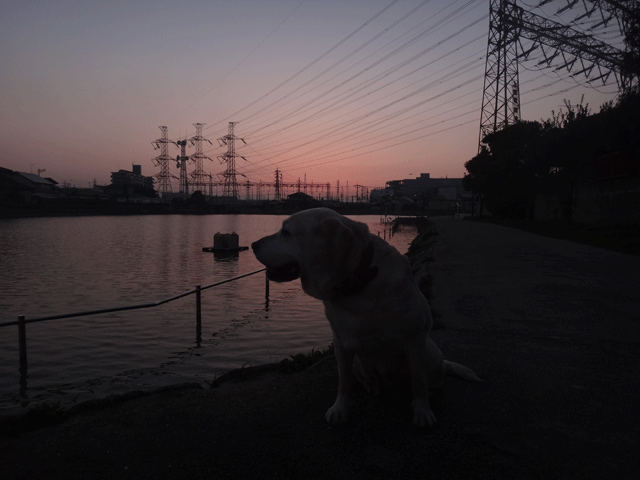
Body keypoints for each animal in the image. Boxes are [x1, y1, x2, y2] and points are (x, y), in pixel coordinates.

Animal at [250, 208, 480, 426]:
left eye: (286, 232)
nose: (253, 244)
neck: (356, 282)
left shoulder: (414, 338)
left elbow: (418, 381)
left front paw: (422, 411)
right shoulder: (341, 343)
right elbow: (343, 382)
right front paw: (340, 409)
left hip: (431, 354)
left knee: (428, 378)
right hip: (358, 361)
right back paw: (370, 384)